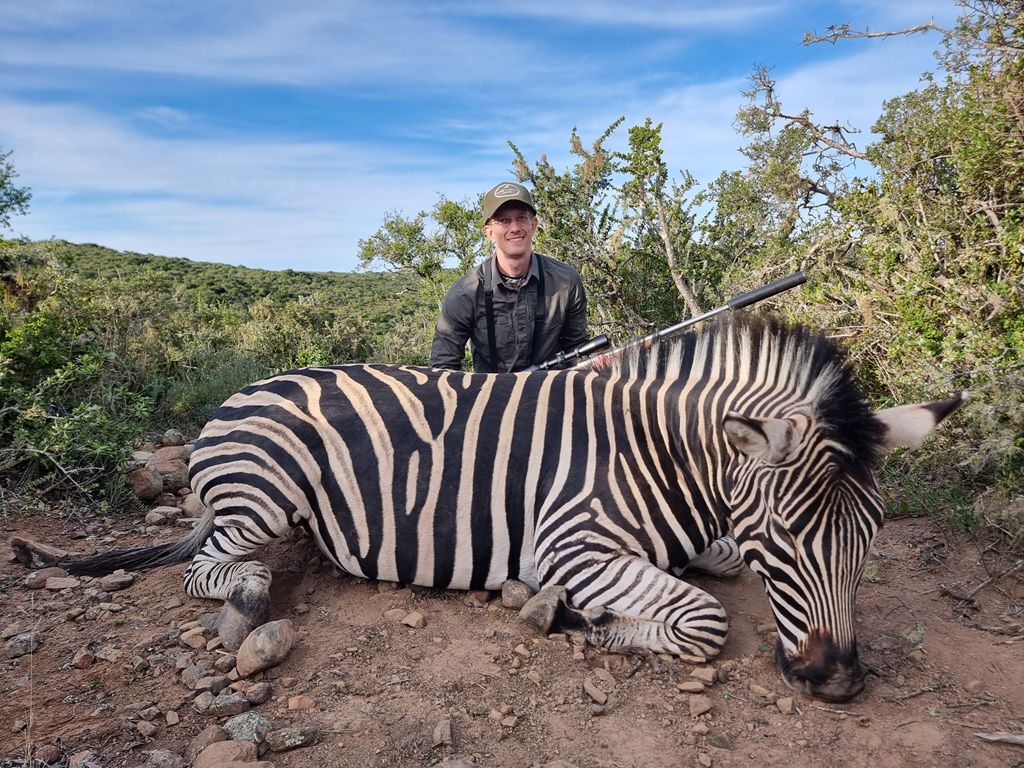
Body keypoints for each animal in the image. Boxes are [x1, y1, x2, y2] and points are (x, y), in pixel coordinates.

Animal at [61, 313, 958, 704]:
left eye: (871, 538)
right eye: (786, 539)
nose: (838, 682)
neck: (664, 456)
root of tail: (249, 387)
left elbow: (715, 568)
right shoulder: (572, 545)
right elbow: (705, 621)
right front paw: (575, 620)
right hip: (263, 494)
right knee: (213, 570)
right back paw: (249, 599)